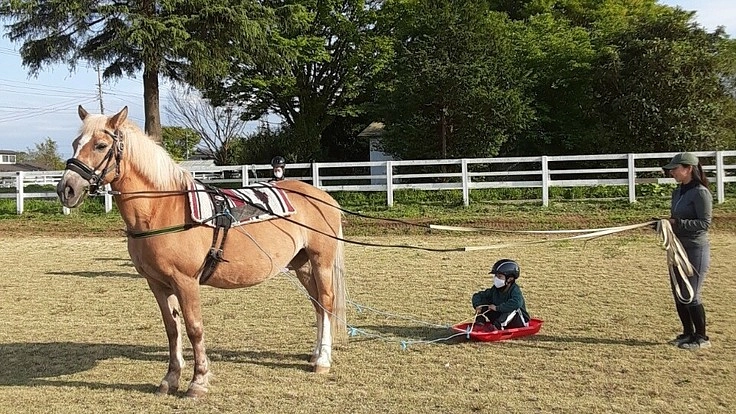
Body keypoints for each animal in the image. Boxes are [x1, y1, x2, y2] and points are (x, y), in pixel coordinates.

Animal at [56, 106, 347, 398]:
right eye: (75, 143)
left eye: (101, 145)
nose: (66, 188)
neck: (162, 209)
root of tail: (324, 197)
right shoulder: (157, 283)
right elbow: (172, 330)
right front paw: (170, 379)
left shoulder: (186, 282)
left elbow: (194, 328)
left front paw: (198, 381)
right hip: (302, 265)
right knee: (317, 304)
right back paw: (315, 353)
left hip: (320, 261)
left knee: (327, 302)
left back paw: (323, 360)